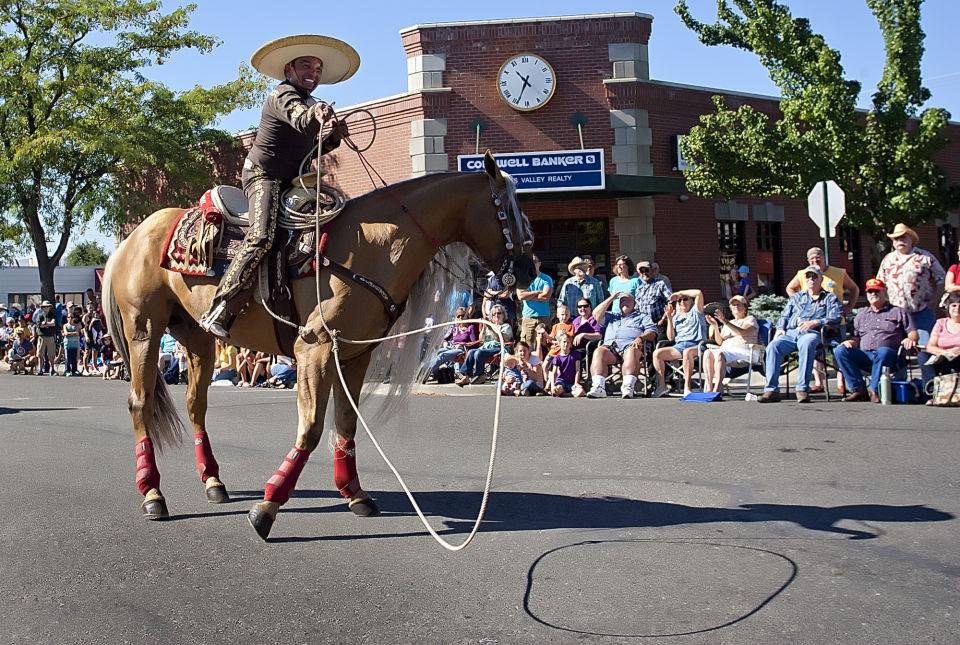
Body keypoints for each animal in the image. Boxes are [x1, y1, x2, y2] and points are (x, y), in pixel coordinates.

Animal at [106, 151, 540, 540]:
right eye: (508, 209)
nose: (528, 269)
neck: (374, 245)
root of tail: (134, 236)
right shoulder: (312, 350)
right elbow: (312, 427)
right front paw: (268, 506)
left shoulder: (355, 354)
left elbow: (346, 422)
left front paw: (355, 493)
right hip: (144, 330)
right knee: (140, 402)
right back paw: (152, 494)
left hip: (197, 337)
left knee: (197, 404)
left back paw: (213, 482)